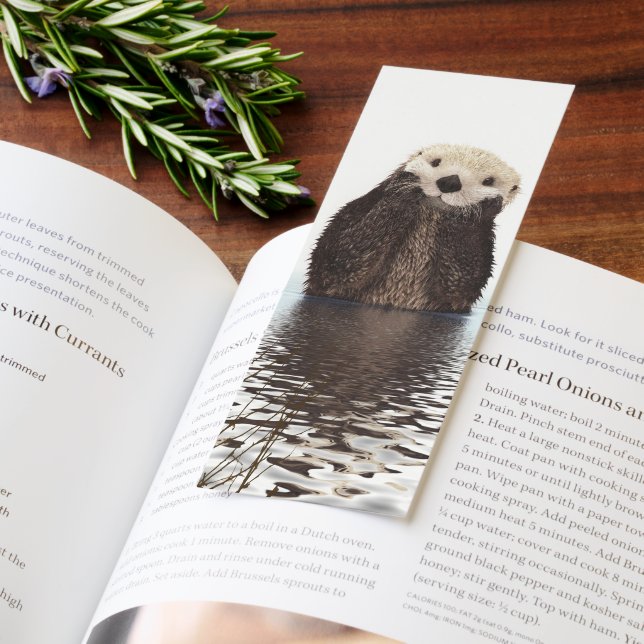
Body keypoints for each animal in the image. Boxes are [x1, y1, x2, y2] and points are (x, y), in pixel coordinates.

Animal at [305, 144, 521, 313]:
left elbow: (460, 284)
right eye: (435, 162)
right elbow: (335, 262)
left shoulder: (481, 249)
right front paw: (405, 185)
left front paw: (480, 208)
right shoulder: (354, 212)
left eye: (488, 181)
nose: (450, 181)